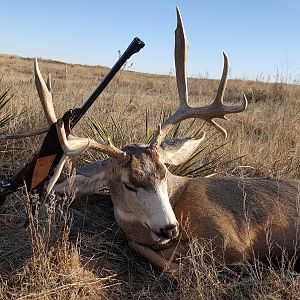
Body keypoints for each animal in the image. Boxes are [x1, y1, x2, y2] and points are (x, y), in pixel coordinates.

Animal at [2, 7, 300, 272]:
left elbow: (163, 255)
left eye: (164, 173)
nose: (169, 228)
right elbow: (141, 246)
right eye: (129, 184)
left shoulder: (229, 239)